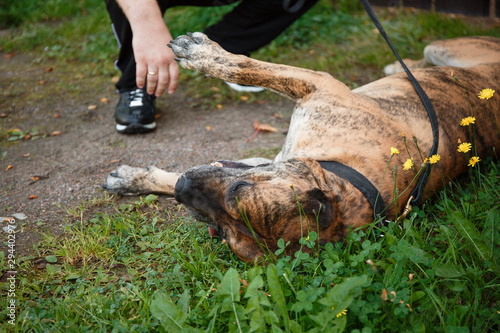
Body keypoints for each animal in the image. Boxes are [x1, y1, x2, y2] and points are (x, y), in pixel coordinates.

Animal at [102, 33, 500, 262]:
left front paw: (200, 53)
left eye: (224, 231)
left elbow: (242, 65)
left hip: (447, 46)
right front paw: (133, 180)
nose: (185, 190)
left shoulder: (315, 84)